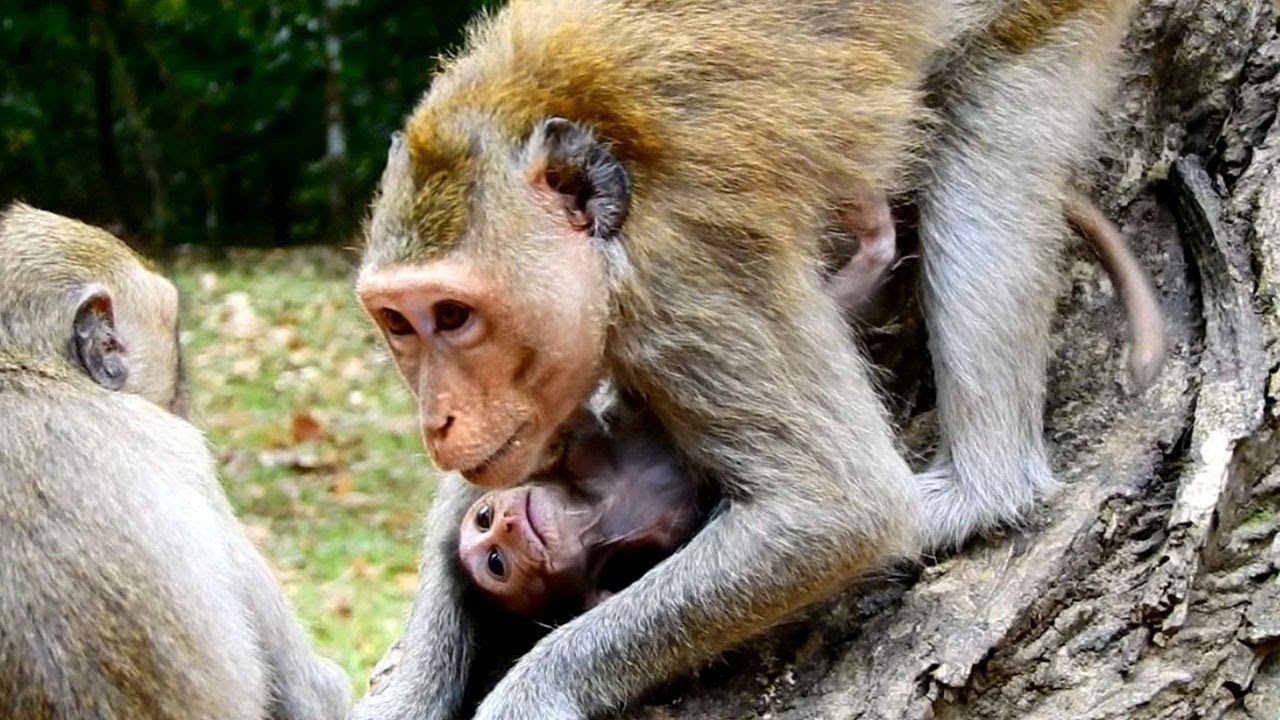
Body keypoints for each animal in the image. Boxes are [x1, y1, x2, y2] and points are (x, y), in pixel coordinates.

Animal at [351, 2, 1147, 719]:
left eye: (452, 316)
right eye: (396, 323)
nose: (438, 421)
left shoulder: (688, 284)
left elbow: (838, 510)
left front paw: (530, 696)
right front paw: (411, 695)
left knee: (981, 137)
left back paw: (978, 489)